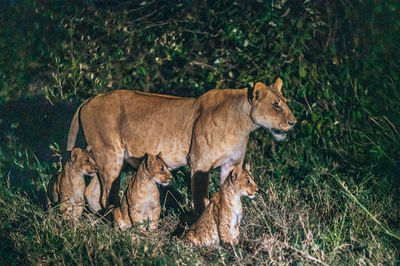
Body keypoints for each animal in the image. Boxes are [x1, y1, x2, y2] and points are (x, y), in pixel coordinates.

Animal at [67, 78, 296, 214]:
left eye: (285, 101)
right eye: (276, 105)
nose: (293, 122)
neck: (242, 124)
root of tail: (89, 99)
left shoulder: (232, 165)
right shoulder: (199, 164)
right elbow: (200, 200)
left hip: (104, 160)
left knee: (93, 192)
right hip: (110, 156)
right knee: (107, 194)